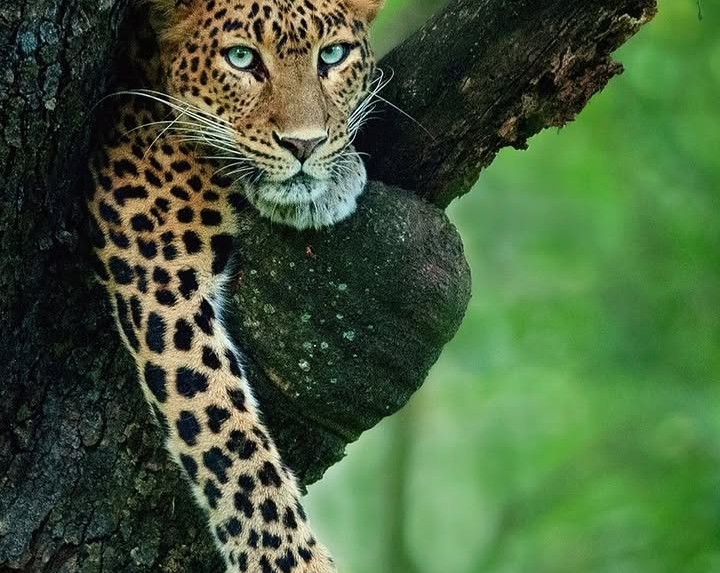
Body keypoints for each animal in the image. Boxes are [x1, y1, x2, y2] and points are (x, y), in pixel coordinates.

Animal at [87, 0, 384, 571]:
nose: (304, 144)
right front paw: (292, 560)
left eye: (333, 55)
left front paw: (334, 178)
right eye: (242, 58)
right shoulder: (163, 281)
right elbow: (229, 438)